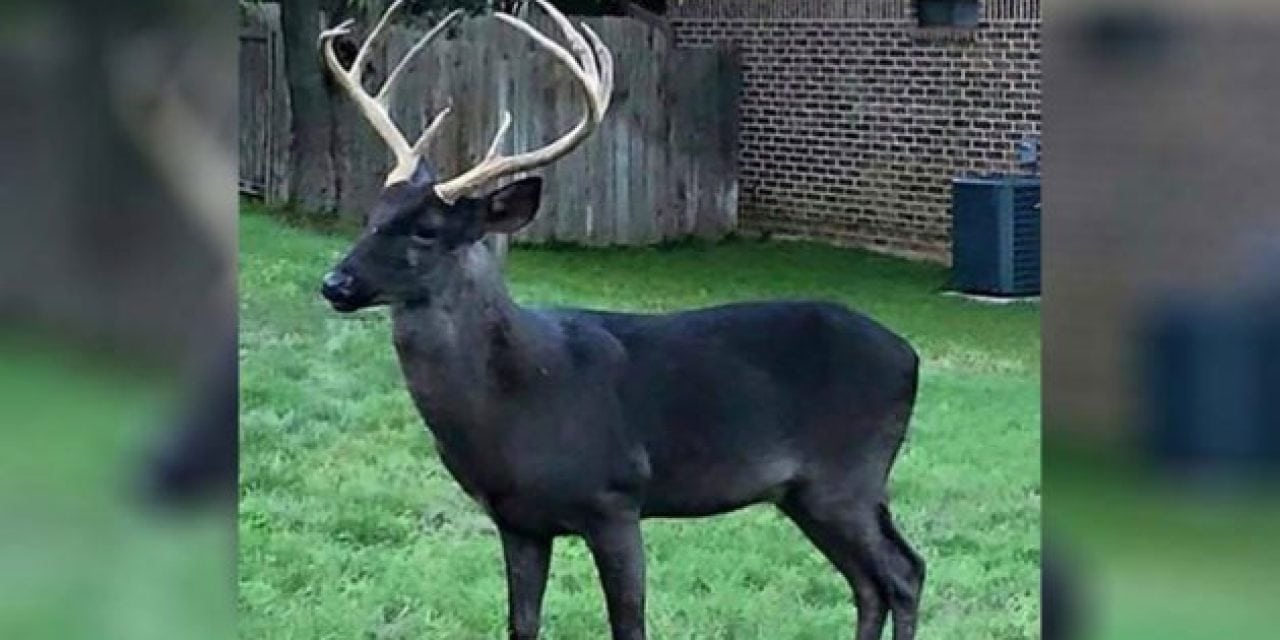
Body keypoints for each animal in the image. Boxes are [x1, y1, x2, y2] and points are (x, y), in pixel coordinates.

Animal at [316, 2, 926, 637]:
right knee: (870, 582)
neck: (516, 400)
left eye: (426, 230)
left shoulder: (615, 497)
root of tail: (910, 355)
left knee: (903, 573)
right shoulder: (517, 520)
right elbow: (521, 623)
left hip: (848, 475)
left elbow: (629, 623)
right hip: (805, 493)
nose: (335, 284)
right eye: (373, 215)